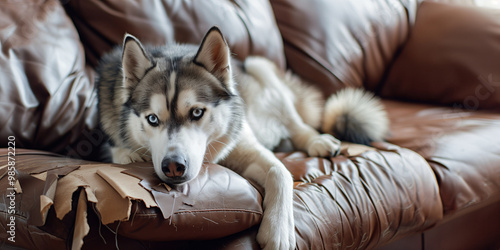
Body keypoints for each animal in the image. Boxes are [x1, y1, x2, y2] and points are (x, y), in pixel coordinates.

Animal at [95, 26, 388, 249]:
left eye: (197, 112)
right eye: (153, 119)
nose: (173, 166)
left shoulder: (242, 144)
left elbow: (281, 172)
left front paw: (279, 231)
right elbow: (119, 150)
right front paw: (128, 154)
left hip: (261, 69)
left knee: (298, 124)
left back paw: (317, 140)